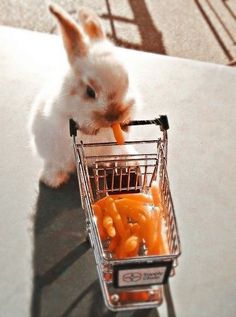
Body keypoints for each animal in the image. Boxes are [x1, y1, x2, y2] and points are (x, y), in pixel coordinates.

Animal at [29, 3, 140, 188]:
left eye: (128, 81)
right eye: (90, 92)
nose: (114, 116)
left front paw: (124, 124)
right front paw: (93, 130)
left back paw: (125, 161)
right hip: (53, 151)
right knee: (58, 164)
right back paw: (52, 179)